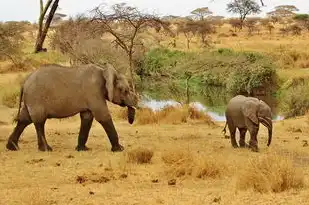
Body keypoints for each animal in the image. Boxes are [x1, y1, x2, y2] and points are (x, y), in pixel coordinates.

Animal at [6, 63, 137, 151]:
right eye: (125, 91)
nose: (135, 103)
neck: (104, 71)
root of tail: (24, 82)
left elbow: (87, 117)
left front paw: (82, 149)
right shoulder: (93, 91)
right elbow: (103, 116)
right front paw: (119, 149)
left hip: (30, 99)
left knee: (24, 119)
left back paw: (12, 147)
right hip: (36, 97)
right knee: (39, 121)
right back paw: (46, 149)